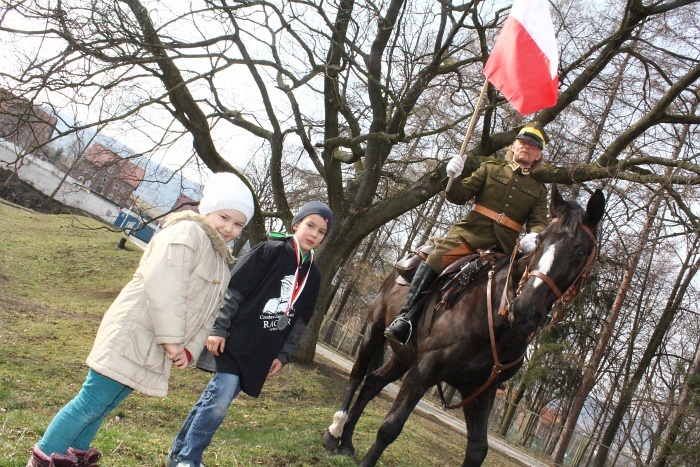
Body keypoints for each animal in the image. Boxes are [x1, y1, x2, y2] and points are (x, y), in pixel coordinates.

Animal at [320, 187, 604, 467]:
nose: (524, 310)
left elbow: (477, 449)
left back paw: (346, 443)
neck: (496, 320)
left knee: (372, 382)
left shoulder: (480, 391)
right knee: (358, 375)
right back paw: (334, 432)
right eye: (540, 241)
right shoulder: (425, 368)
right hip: (374, 329)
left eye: (581, 251)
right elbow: (390, 427)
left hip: (404, 357)